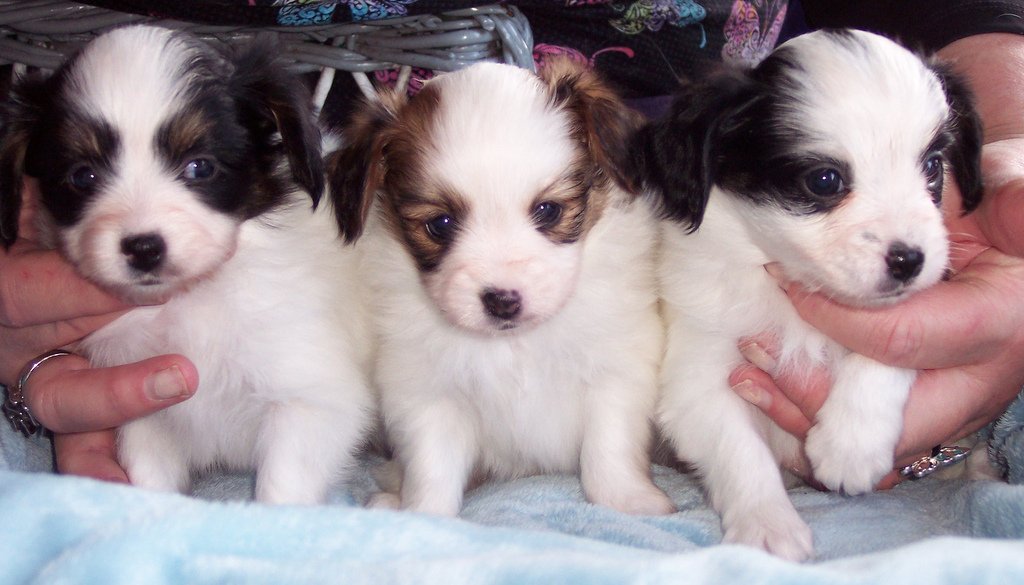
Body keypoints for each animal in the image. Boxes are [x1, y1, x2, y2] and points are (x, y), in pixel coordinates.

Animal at [0, 25, 376, 506]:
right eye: (82, 176)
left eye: (200, 167)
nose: (143, 248)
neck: (185, 304)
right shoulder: (145, 415)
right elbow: (151, 481)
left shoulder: (310, 402)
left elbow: (280, 490)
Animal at [329, 59, 679, 516]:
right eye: (440, 224)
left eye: (548, 211)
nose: (502, 301)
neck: (514, 346)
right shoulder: (429, 394)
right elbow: (431, 468)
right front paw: (421, 513)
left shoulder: (616, 372)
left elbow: (608, 450)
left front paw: (628, 502)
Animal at [626, 29, 987, 561]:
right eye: (824, 180)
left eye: (932, 167)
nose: (909, 260)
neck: (791, 289)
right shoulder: (699, 378)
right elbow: (740, 453)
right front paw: (768, 528)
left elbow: (887, 345)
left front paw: (851, 444)